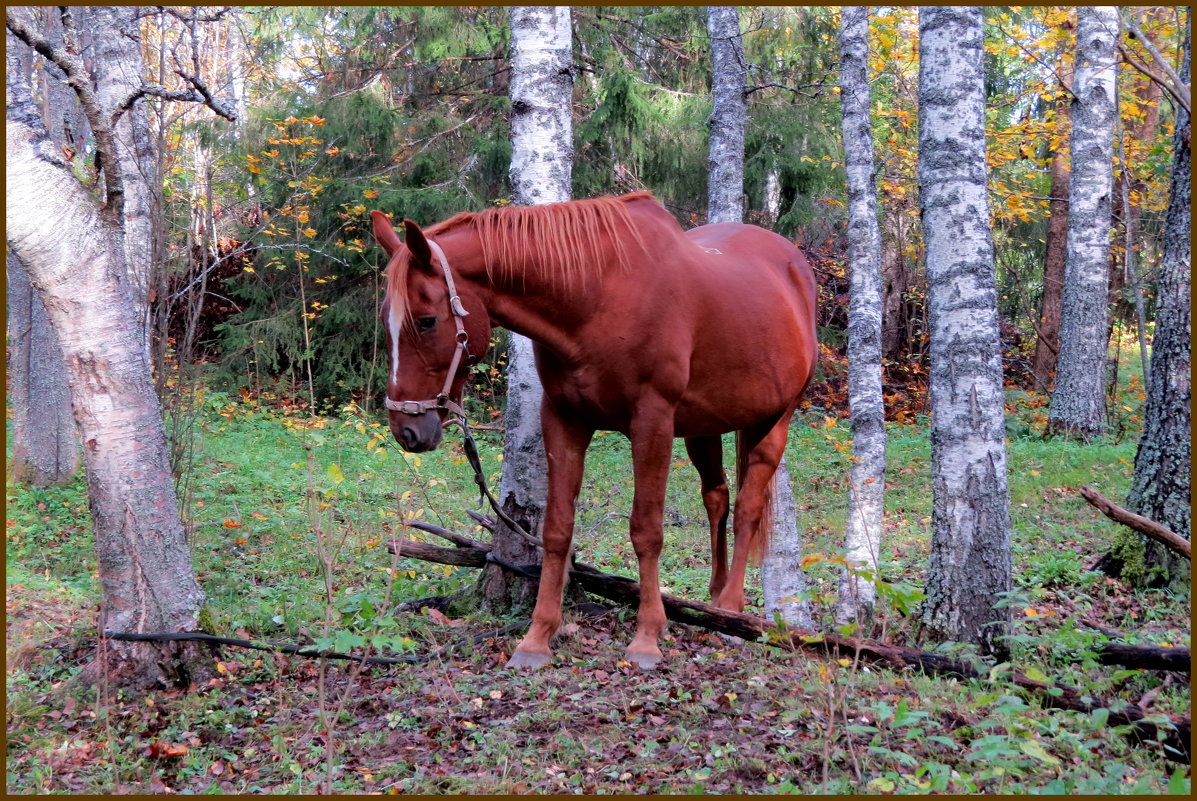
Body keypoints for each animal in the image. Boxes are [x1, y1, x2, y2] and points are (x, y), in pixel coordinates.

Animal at [373, 193, 818, 670]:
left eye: (426, 321)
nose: (406, 429)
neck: (596, 298)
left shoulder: (652, 422)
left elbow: (646, 530)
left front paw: (647, 637)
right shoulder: (564, 419)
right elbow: (556, 531)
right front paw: (536, 638)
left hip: (774, 421)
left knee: (748, 508)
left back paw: (732, 612)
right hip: (705, 428)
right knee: (717, 498)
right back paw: (715, 602)